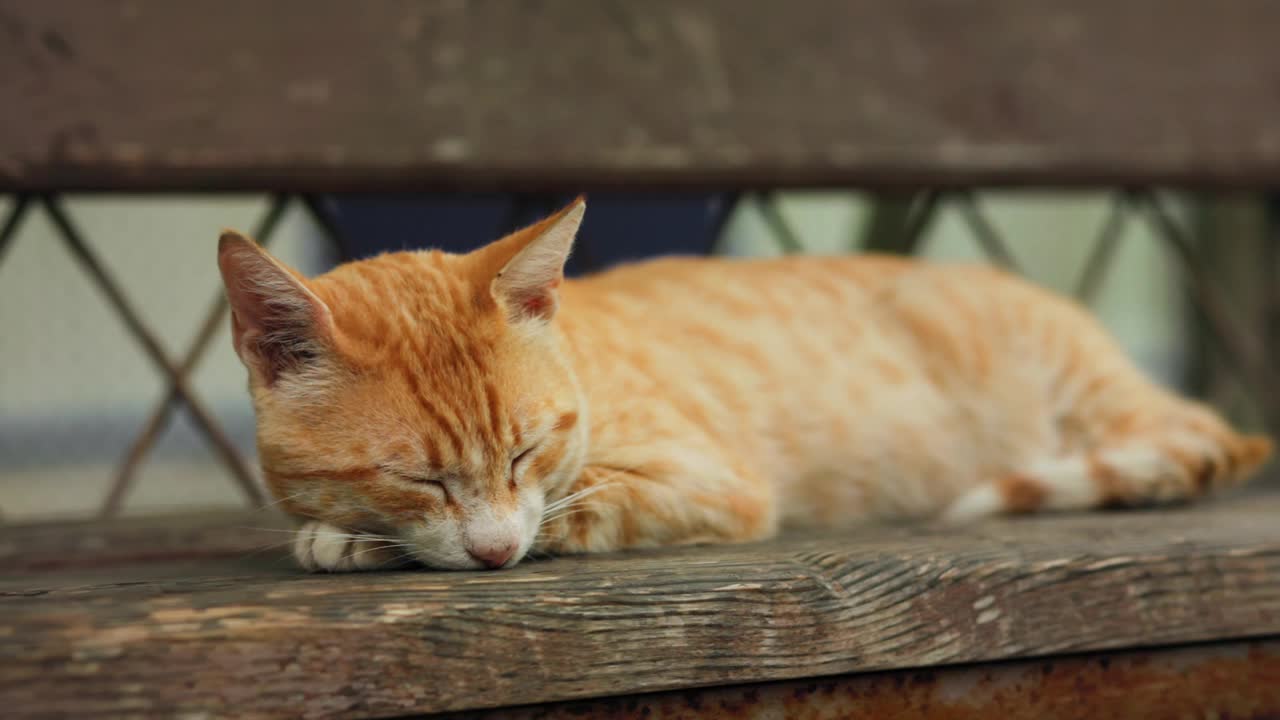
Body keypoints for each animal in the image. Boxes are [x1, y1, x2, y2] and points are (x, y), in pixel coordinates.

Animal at [217, 193, 1269, 568]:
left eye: (528, 448)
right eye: (418, 476)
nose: (491, 553)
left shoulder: (709, 483)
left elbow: (582, 508)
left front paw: (350, 542)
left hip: (1097, 399)